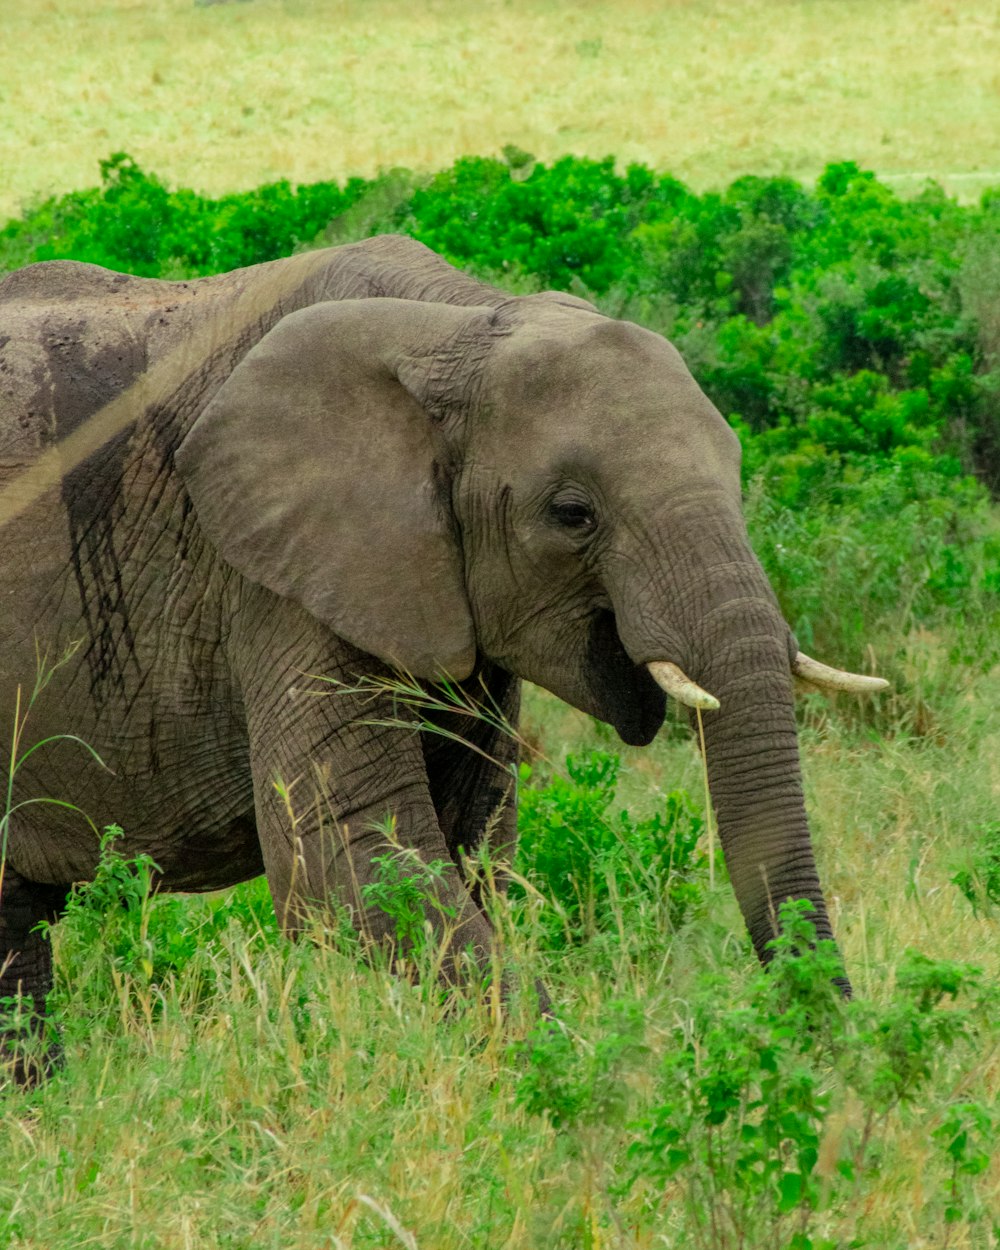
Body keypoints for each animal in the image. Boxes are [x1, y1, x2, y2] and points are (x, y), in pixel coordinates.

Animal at [1, 235, 890, 1075]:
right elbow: (349, 862)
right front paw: (581, 1077)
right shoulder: (280, 579)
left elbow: (476, 847)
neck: (458, 321)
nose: (835, 1058)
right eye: (572, 514)